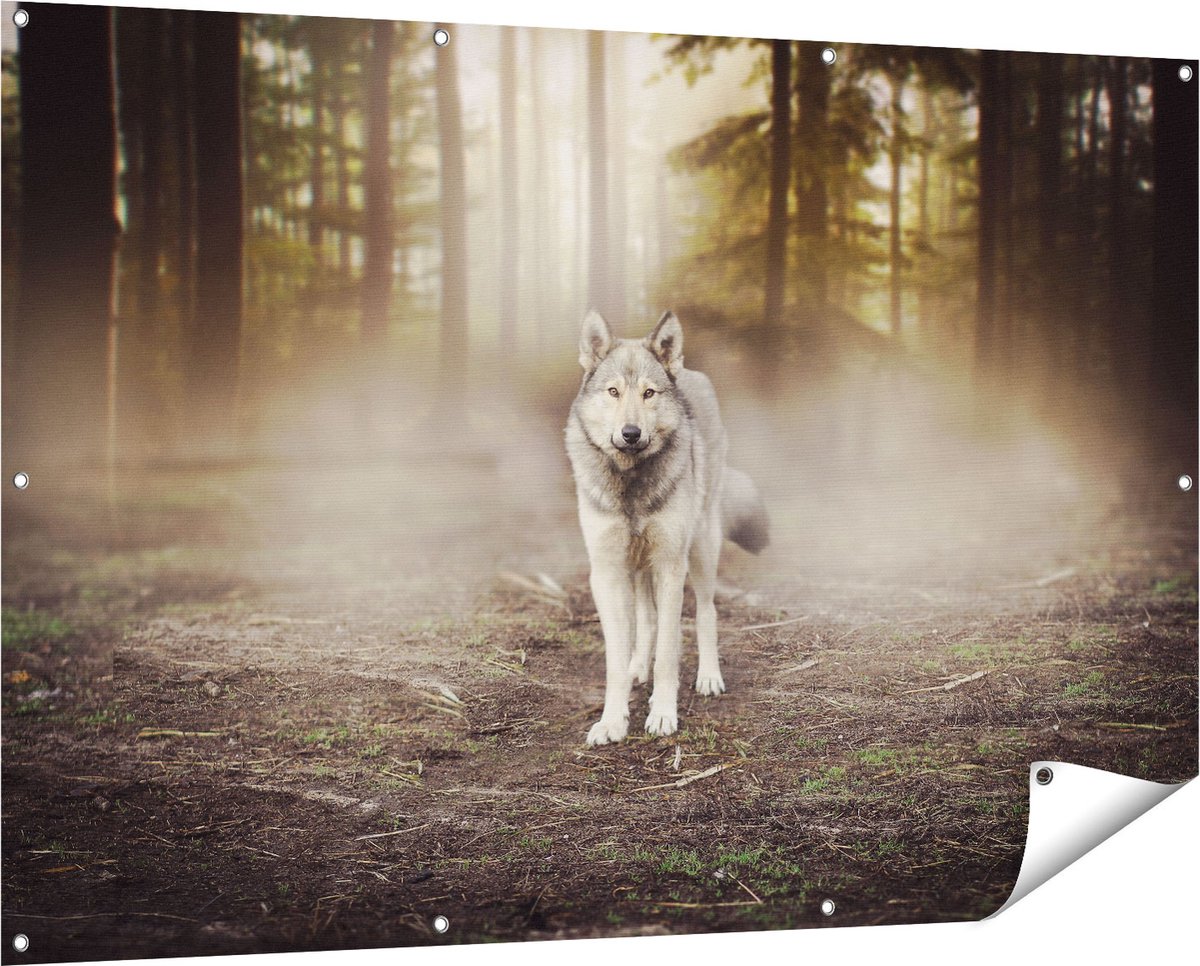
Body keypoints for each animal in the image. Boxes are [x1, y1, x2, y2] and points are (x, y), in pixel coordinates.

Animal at [565, 310, 769, 745]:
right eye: (613, 392)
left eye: (649, 393)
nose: (630, 433)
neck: (631, 484)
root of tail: (689, 371)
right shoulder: (607, 573)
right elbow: (615, 658)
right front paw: (612, 720)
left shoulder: (671, 567)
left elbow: (669, 653)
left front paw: (662, 714)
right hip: (639, 566)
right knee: (646, 620)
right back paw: (636, 667)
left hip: (701, 549)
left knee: (706, 612)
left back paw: (708, 676)